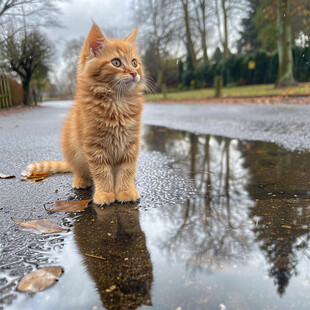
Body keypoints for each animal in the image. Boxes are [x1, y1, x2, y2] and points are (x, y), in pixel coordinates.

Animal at [26, 22, 145, 206]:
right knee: (79, 169)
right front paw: (105, 193)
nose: (134, 73)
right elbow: (101, 172)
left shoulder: (131, 143)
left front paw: (125, 190)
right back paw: (81, 180)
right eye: (116, 62)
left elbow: (127, 169)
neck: (117, 104)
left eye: (134, 62)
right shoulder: (94, 146)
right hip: (72, 148)